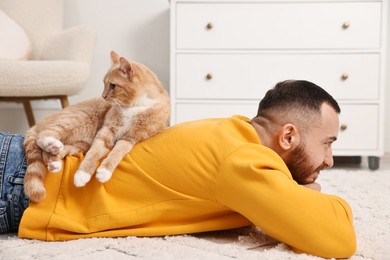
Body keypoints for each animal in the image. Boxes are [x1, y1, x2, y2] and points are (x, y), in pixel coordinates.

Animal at [24, 50, 171, 201]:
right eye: (104, 84)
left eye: (113, 86)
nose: (103, 96)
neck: (134, 106)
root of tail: (36, 125)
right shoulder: (105, 132)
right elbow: (93, 153)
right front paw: (82, 174)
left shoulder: (131, 138)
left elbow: (117, 152)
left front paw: (104, 171)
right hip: (76, 120)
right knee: (43, 136)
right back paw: (51, 144)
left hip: (80, 143)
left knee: (55, 151)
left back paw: (55, 161)